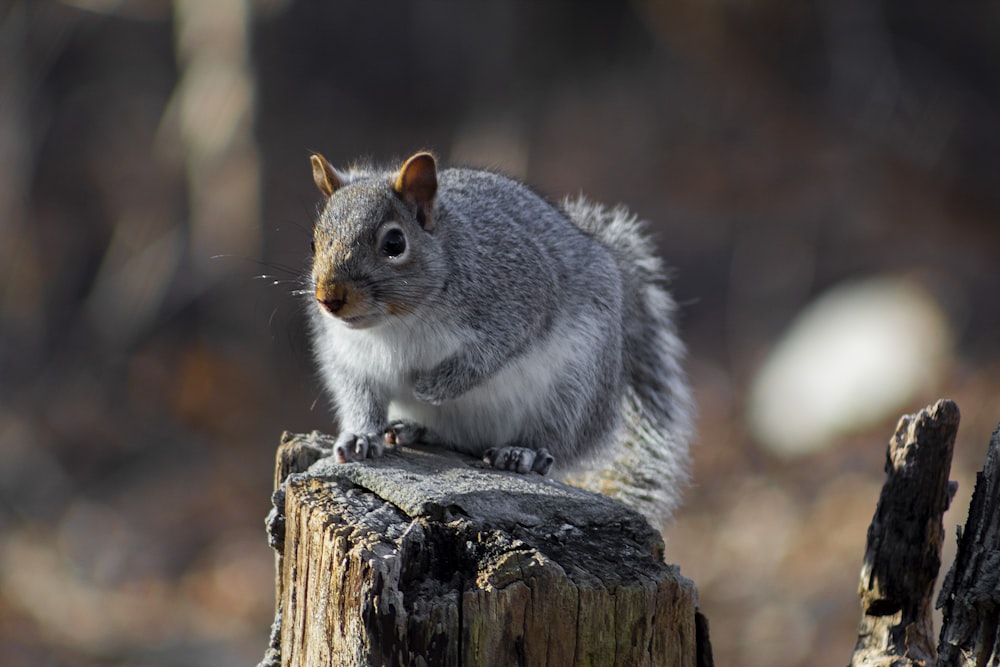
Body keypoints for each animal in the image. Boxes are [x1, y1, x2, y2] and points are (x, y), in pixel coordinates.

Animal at [304, 154, 696, 524]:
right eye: (314, 241)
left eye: (394, 243)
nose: (328, 298)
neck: (397, 322)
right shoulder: (348, 357)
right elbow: (361, 398)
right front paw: (360, 437)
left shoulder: (519, 299)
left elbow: (490, 355)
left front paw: (435, 386)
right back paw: (412, 429)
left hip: (575, 388)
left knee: (556, 440)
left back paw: (524, 453)